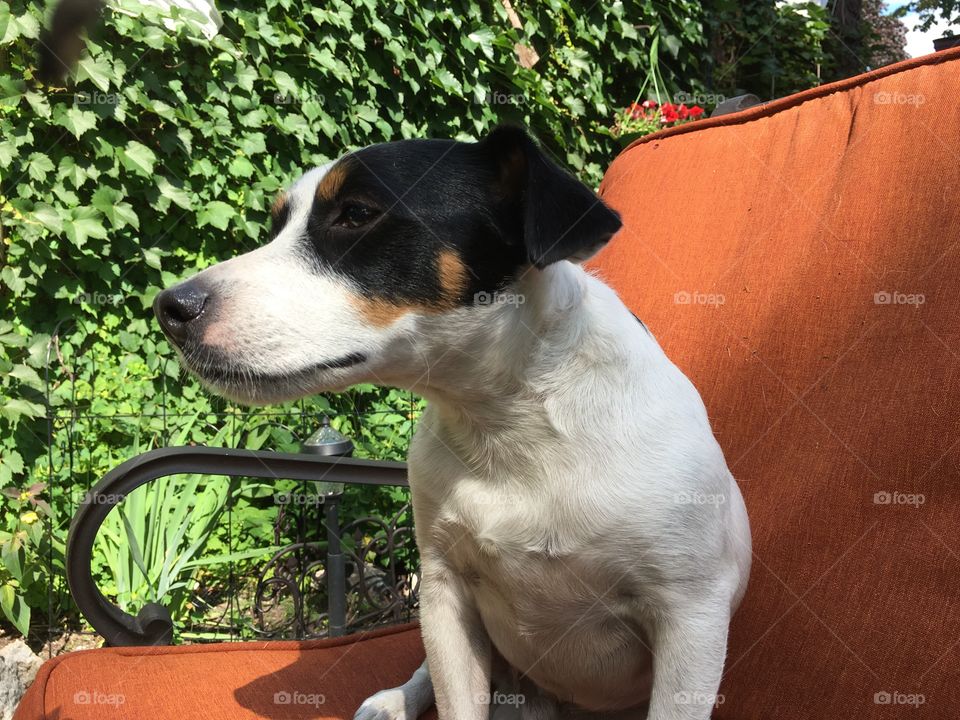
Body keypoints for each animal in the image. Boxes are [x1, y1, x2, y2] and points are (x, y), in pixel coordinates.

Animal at [156, 126, 752, 716]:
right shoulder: (445, 591)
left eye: (356, 213)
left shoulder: (690, 619)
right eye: (276, 226)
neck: (512, 424)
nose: (169, 308)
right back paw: (395, 700)